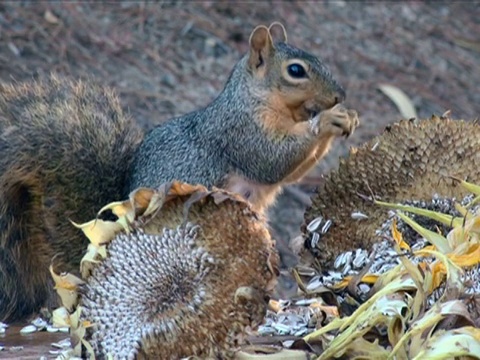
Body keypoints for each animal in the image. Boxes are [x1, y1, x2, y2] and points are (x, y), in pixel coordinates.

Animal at [0, 23, 358, 320]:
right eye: (296, 70)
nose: (340, 95)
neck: (259, 100)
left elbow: (292, 172)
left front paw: (345, 119)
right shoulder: (240, 133)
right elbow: (273, 161)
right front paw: (329, 120)